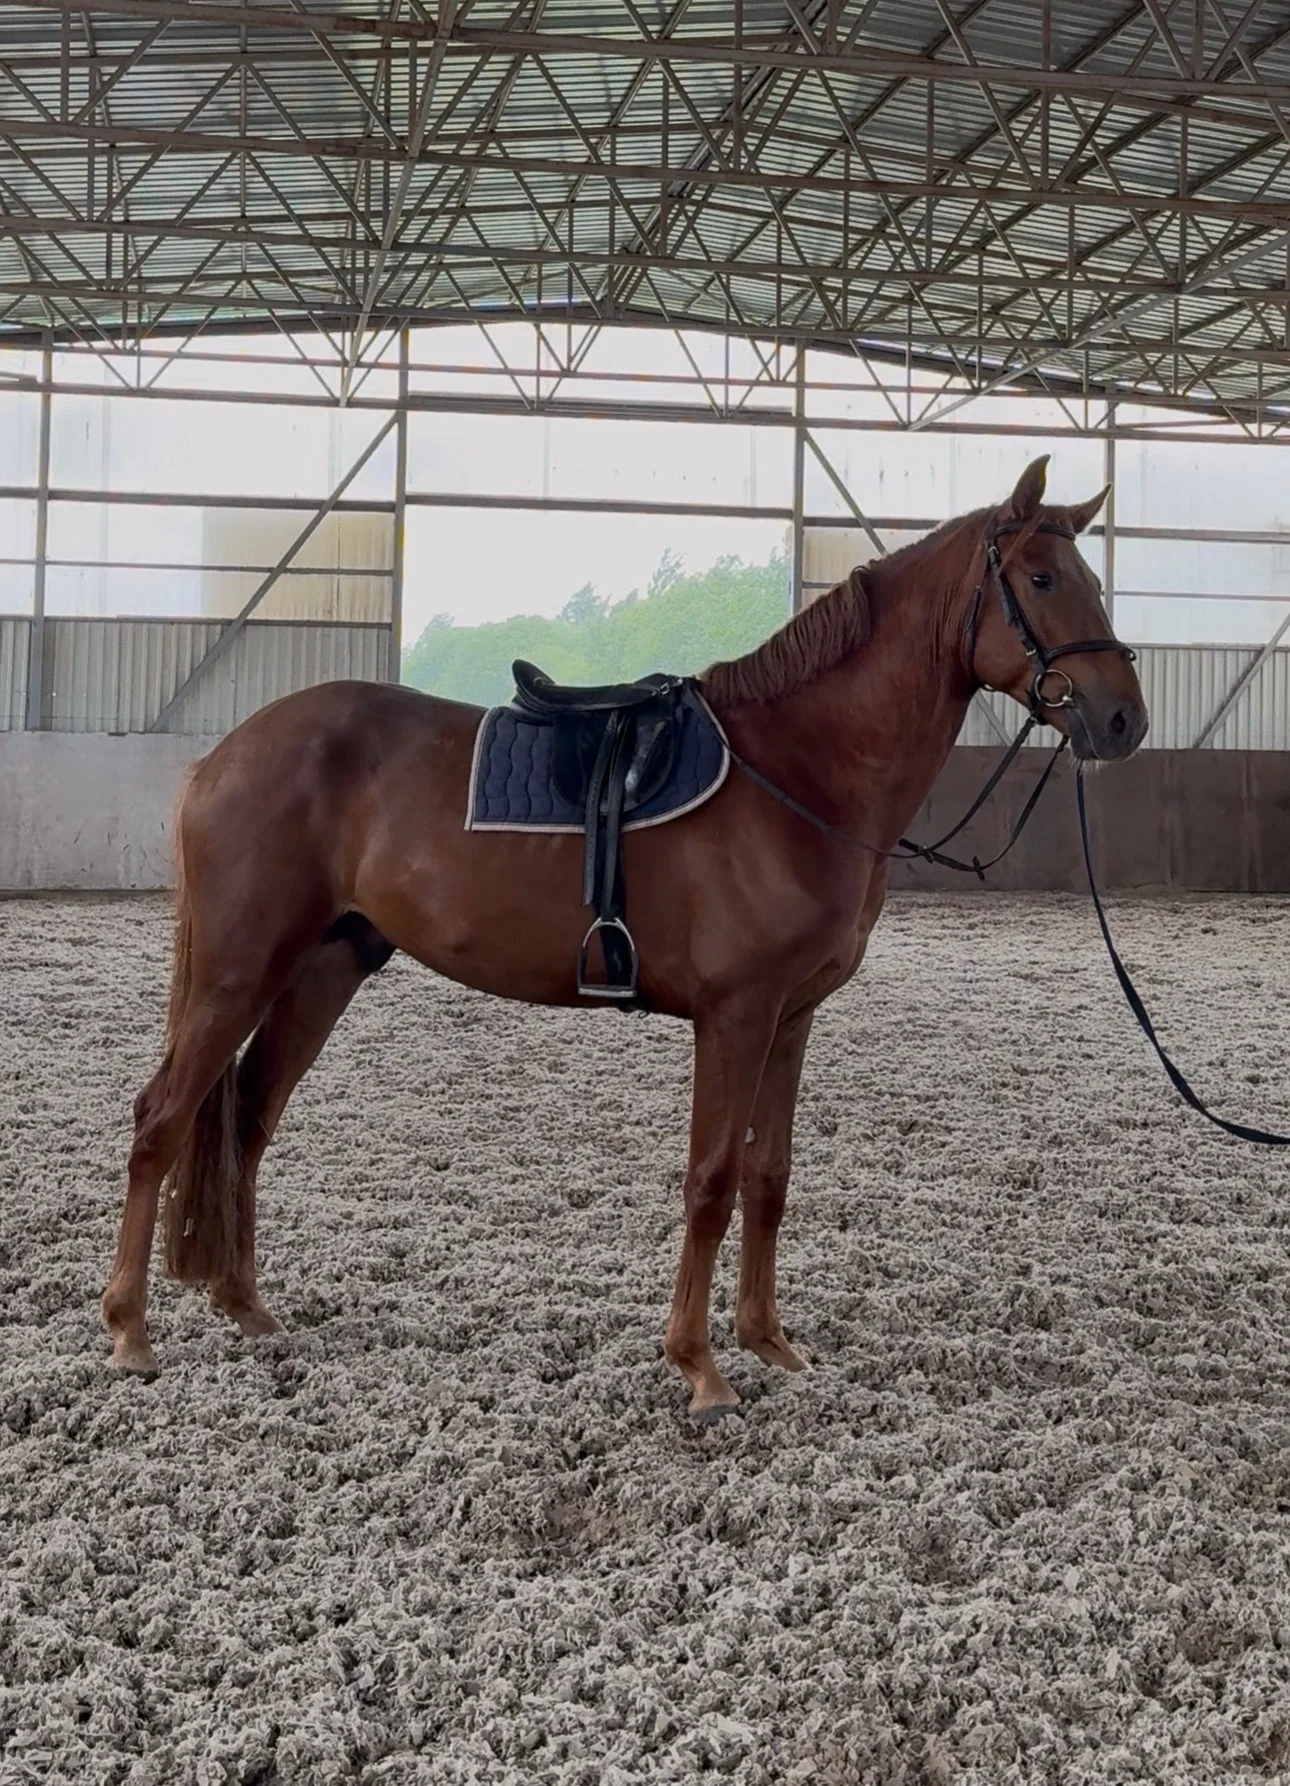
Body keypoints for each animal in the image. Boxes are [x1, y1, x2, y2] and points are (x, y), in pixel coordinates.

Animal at [101, 456, 1147, 1420]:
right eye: (1042, 578)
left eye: (1089, 575)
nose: (1123, 718)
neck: (795, 773)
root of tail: (224, 756)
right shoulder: (734, 1017)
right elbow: (713, 1180)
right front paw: (700, 1367)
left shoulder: (791, 1017)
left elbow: (769, 1176)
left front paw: (768, 1342)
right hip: (239, 970)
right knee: (162, 1120)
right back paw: (130, 1332)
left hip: (325, 966)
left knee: (246, 1119)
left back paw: (247, 1308)